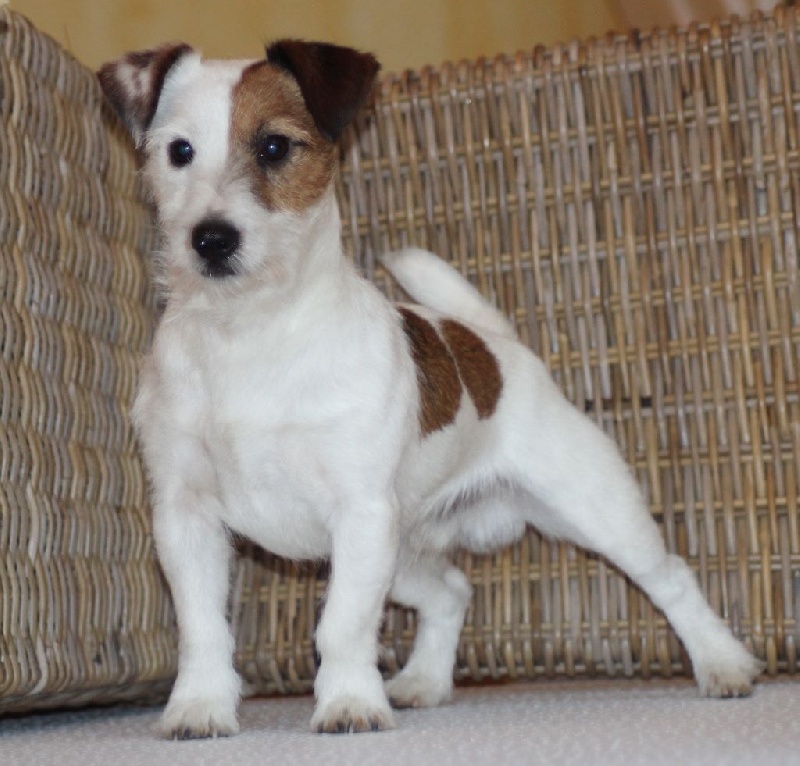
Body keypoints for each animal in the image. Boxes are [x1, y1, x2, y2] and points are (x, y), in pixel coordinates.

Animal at [97, 39, 762, 738]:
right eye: (179, 151)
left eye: (274, 147)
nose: (210, 238)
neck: (248, 335)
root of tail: (496, 346)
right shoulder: (187, 518)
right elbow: (202, 629)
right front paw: (199, 708)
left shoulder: (359, 513)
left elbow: (341, 627)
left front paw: (349, 704)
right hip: (402, 552)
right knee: (452, 592)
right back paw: (423, 682)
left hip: (593, 512)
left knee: (671, 578)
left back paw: (723, 664)